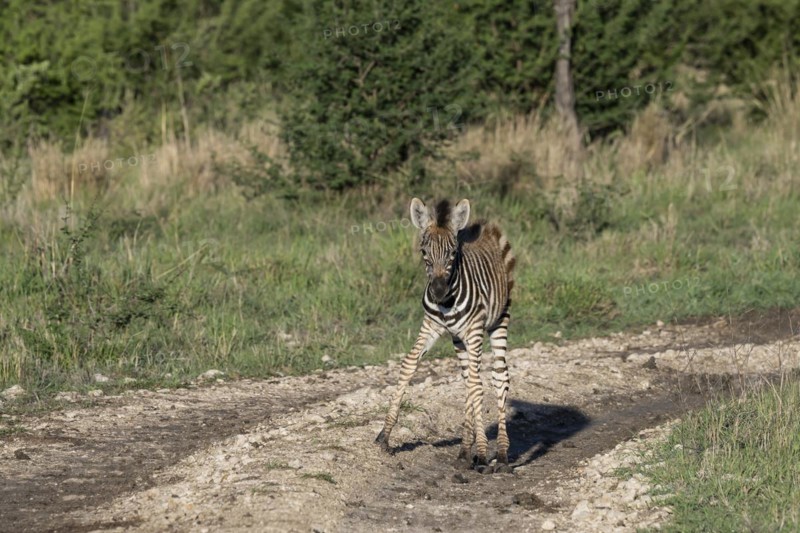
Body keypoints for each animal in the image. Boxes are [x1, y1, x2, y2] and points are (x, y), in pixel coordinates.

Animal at [375, 198, 515, 474]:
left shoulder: (474, 331)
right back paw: (464, 451)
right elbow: (409, 365)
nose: (438, 292)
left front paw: (482, 453)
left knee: (499, 377)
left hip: (498, 321)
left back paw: (502, 454)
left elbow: (478, 386)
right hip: (458, 339)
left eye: (452, 254)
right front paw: (385, 435)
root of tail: (485, 228)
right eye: (423, 253)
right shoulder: (430, 326)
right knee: (468, 381)